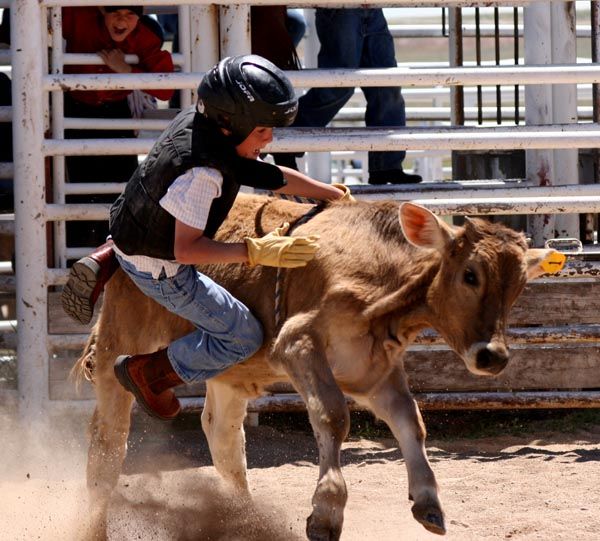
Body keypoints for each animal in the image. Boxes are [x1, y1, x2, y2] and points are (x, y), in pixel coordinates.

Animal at [74, 195, 552, 540]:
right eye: (470, 275)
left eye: (518, 286)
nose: (493, 356)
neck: (382, 276)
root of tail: (116, 251)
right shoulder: (298, 344)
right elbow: (333, 417)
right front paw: (326, 514)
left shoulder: (374, 367)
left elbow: (408, 422)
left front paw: (428, 502)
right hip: (120, 342)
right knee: (107, 448)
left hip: (230, 373)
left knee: (225, 442)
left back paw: (245, 522)